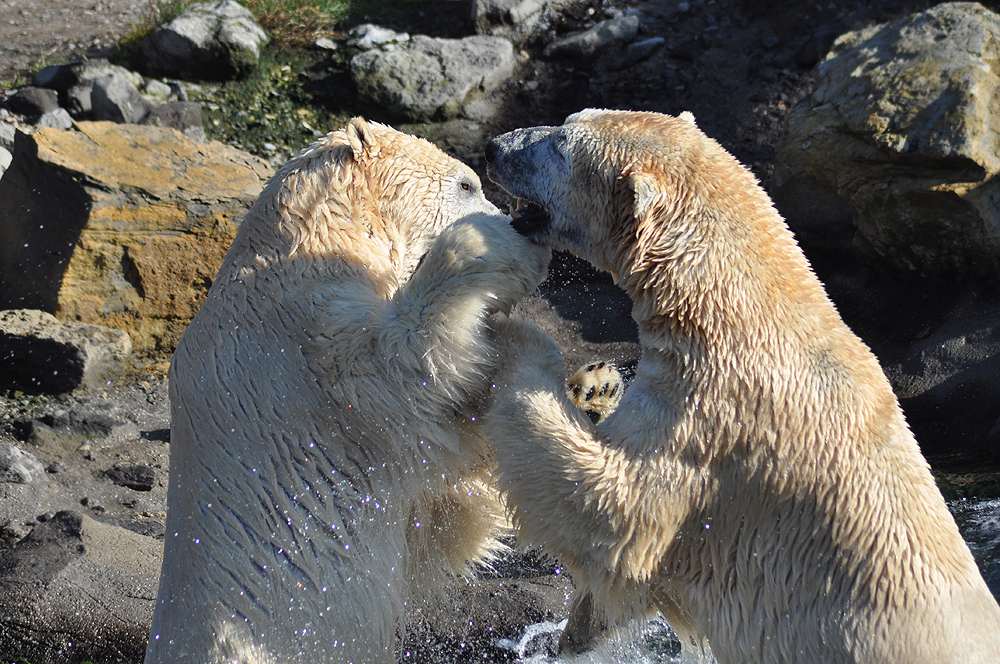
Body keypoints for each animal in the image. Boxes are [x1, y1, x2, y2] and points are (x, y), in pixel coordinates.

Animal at [143, 118, 548, 664]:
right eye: (467, 184)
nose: (520, 216)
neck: (309, 240)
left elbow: (436, 522)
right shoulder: (307, 346)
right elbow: (402, 368)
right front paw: (502, 246)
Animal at [482, 111, 1000, 664]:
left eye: (560, 144)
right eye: (569, 121)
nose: (494, 147)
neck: (742, 317)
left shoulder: (714, 427)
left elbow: (612, 514)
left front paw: (517, 339)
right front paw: (596, 389)